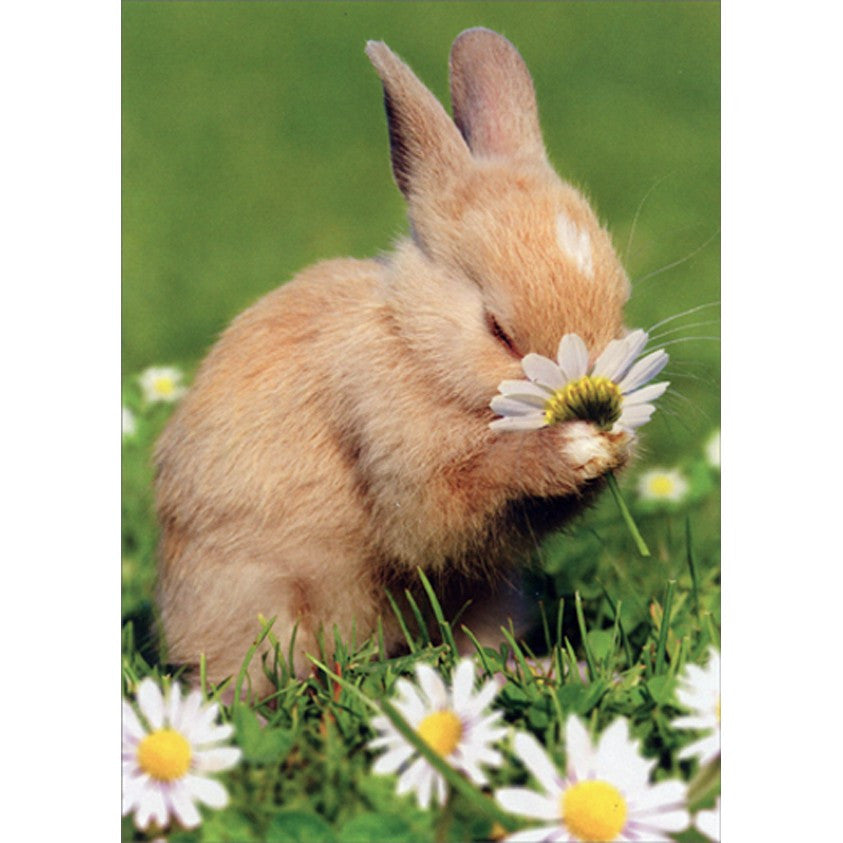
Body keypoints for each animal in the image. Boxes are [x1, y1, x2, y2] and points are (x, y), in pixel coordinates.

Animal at [154, 27, 637, 698]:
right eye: (498, 329)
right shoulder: (390, 444)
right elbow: (440, 513)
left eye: (621, 300)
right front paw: (571, 449)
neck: (414, 341)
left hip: (492, 598)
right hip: (255, 601)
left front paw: (612, 445)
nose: (597, 398)